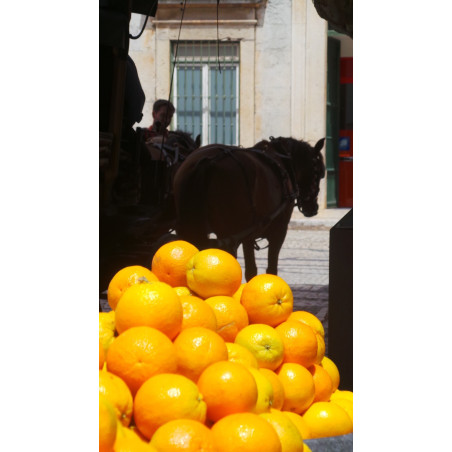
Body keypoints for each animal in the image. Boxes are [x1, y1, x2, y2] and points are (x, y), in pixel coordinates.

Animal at [172, 136, 324, 280]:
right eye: (320, 174)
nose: (313, 208)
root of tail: (209, 161)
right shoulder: (278, 232)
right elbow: (270, 269)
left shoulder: (248, 237)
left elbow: (251, 271)